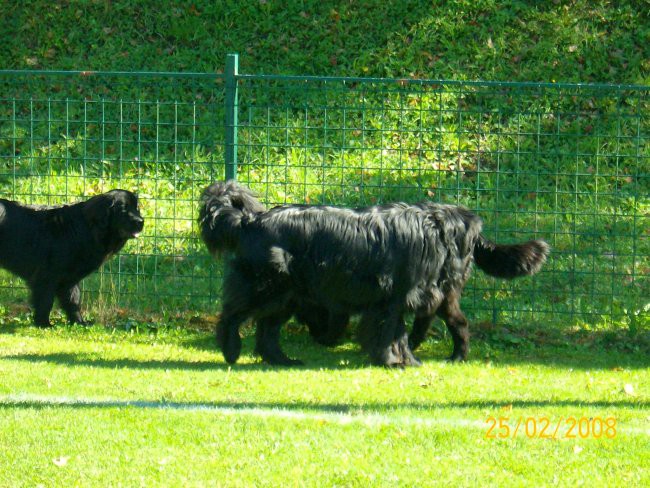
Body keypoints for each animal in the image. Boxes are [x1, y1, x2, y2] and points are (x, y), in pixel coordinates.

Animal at [0, 191, 143, 328]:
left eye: (137, 208)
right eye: (123, 209)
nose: (141, 221)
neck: (86, 228)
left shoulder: (69, 279)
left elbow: (73, 300)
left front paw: (79, 322)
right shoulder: (47, 275)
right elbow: (46, 301)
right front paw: (44, 324)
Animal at [199, 181, 548, 368]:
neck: (435, 230)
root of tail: (250, 220)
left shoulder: (401, 299)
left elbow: (399, 332)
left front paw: (404, 360)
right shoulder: (393, 298)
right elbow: (392, 332)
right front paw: (396, 361)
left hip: (285, 295)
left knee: (266, 330)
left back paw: (281, 360)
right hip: (266, 286)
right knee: (233, 315)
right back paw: (231, 350)